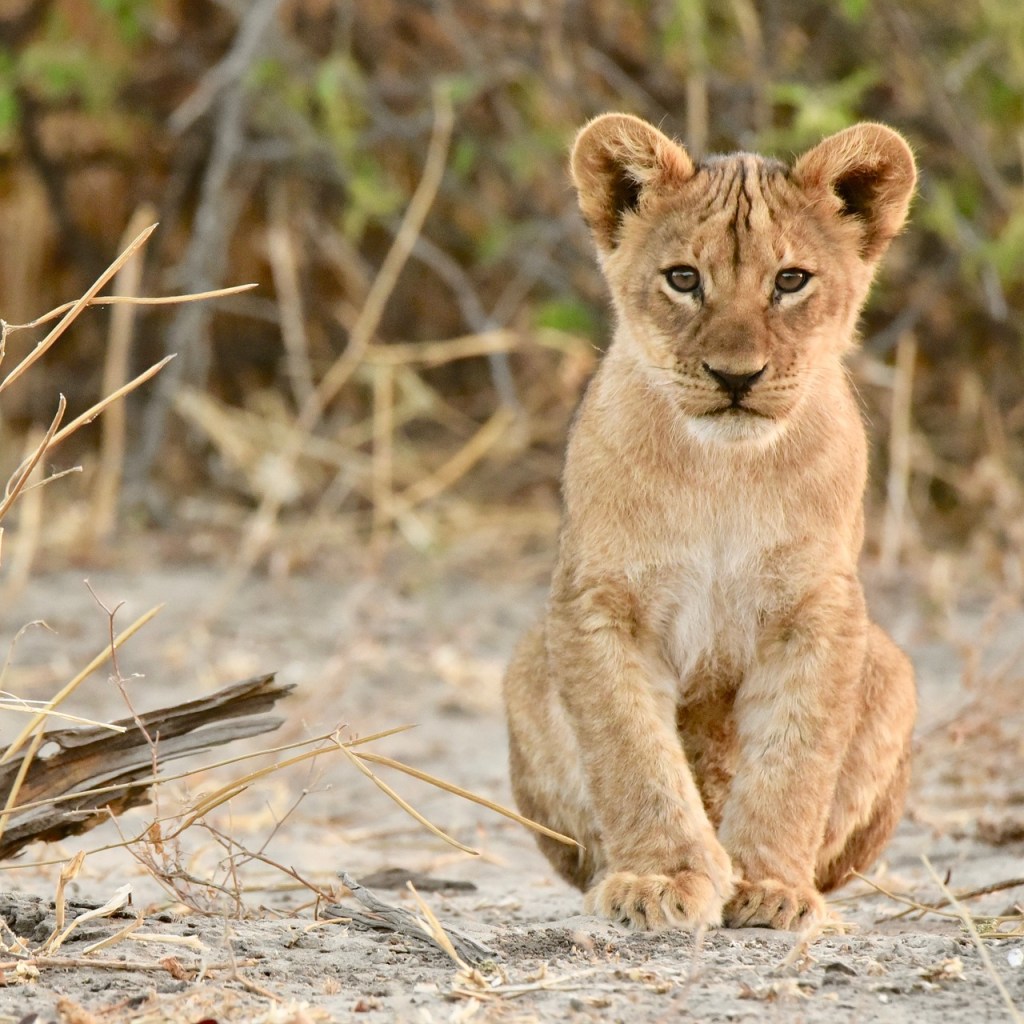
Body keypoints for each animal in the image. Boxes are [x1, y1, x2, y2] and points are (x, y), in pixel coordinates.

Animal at [503, 114, 918, 931]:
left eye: (790, 281)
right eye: (684, 279)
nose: (736, 377)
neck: (723, 474)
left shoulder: (820, 609)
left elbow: (794, 758)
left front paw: (770, 886)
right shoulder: (597, 604)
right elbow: (632, 753)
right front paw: (660, 878)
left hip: (894, 670)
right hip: (525, 666)